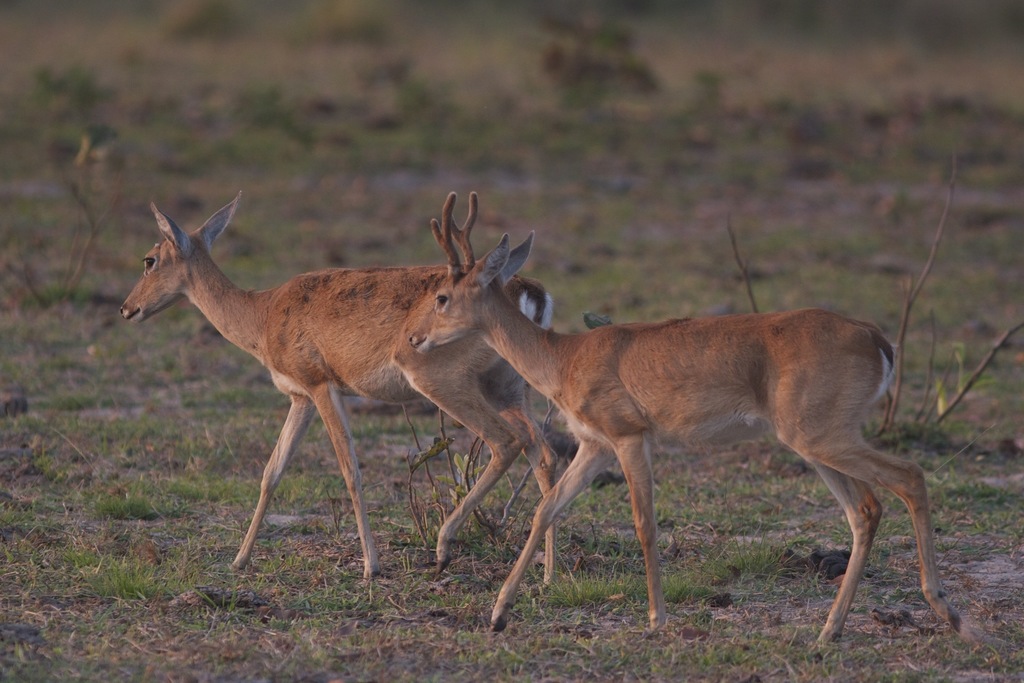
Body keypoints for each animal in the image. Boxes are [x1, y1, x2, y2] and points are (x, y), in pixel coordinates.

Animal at [120, 191, 560, 581]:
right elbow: (272, 471)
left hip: (442, 377)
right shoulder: (299, 394)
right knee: (544, 454)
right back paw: (547, 574)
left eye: (149, 259)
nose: (126, 308)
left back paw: (443, 546)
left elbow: (350, 470)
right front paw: (239, 560)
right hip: (508, 385)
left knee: (505, 440)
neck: (262, 318)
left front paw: (371, 566)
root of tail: (530, 295)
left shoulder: (319, 382)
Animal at [407, 192, 981, 643]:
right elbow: (546, 510)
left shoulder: (630, 435)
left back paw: (949, 614)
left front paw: (656, 619)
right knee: (865, 509)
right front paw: (498, 614)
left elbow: (644, 524)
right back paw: (829, 630)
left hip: (822, 435)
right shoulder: (594, 444)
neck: (563, 357)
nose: (413, 338)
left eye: (442, 296)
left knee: (910, 477)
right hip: (816, 440)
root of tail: (878, 339)